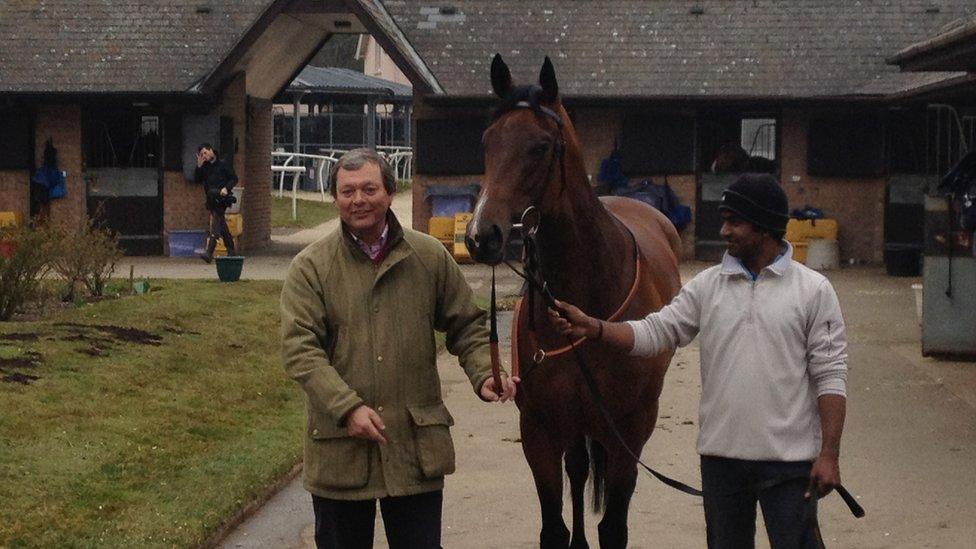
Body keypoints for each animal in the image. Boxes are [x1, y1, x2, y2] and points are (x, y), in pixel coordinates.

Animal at [464, 53, 680, 544]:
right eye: (486, 142)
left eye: (541, 146)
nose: (482, 237)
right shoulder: (539, 431)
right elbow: (553, 527)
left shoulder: (628, 433)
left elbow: (614, 527)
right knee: (579, 472)